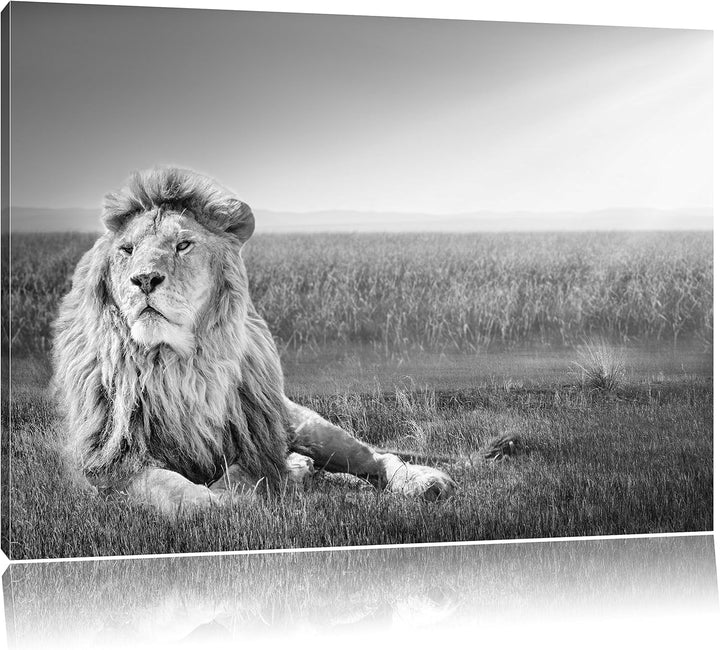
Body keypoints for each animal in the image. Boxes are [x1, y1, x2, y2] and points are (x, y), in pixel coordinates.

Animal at [52, 167, 456, 515]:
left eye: (183, 245)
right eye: (127, 250)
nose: (145, 279)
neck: (177, 364)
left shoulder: (253, 440)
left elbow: (244, 474)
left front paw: (258, 486)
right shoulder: (111, 463)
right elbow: (176, 490)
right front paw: (224, 500)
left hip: (305, 425)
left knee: (373, 457)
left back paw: (423, 482)